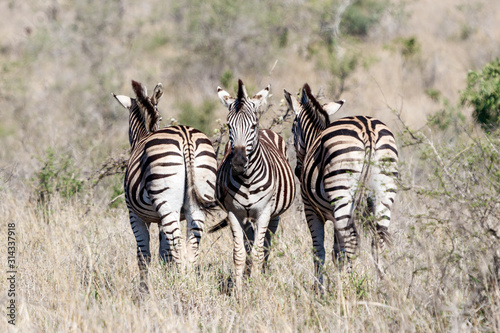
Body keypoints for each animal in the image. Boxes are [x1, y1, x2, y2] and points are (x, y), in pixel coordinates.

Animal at [113, 79, 217, 290]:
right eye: (160, 117)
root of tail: (186, 137)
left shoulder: (134, 215)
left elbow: (143, 256)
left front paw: (144, 290)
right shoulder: (160, 220)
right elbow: (164, 254)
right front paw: (166, 278)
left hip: (166, 202)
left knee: (178, 246)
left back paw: (180, 286)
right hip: (198, 200)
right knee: (192, 247)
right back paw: (188, 284)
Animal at [211, 79, 296, 292]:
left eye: (253, 125)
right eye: (229, 125)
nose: (239, 162)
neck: (247, 179)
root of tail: (267, 130)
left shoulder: (264, 212)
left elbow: (258, 253)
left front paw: (257, 289)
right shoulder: (234, 213)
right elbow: (240, 254)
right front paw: (240, 292)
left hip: (273, 216)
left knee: (265, 246)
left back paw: (262, 274)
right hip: (247, 218)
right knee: (249, 245)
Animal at [286, 83, 398, 288]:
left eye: (292, 129)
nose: (298, 171)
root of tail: (368, 130)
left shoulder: (311, 209)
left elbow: (319, 251)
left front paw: (319, 288)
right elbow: (337, 252)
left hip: (342, 195)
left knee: (352, 241)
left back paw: (349, 288)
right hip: (384, 192)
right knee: (378, 240)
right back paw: (383, 286)